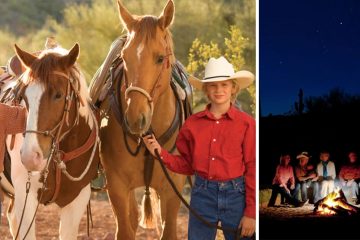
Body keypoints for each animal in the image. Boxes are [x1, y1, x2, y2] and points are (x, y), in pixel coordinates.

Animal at [93, 0, 193, 239]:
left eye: (160, 58)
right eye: (124, 57)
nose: (134, 118)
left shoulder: (172, 191)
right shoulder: (117, 187)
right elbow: (125, 229)